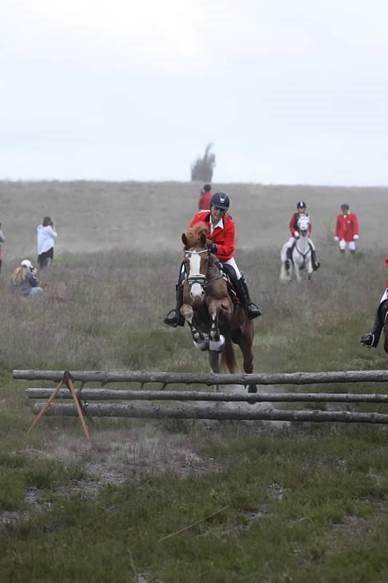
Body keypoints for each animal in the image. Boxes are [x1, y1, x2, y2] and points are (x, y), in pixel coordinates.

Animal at [179, 221, 258, 394]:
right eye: (186, 262)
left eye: (205, 260)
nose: (196, 293)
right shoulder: (189, 306)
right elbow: (187, 312)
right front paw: (200, 340)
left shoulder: (225, 306)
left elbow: (214, 308)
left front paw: (214, 338)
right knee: (216, 370)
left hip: (245, 334)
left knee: (248, 363)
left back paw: (252, 389)